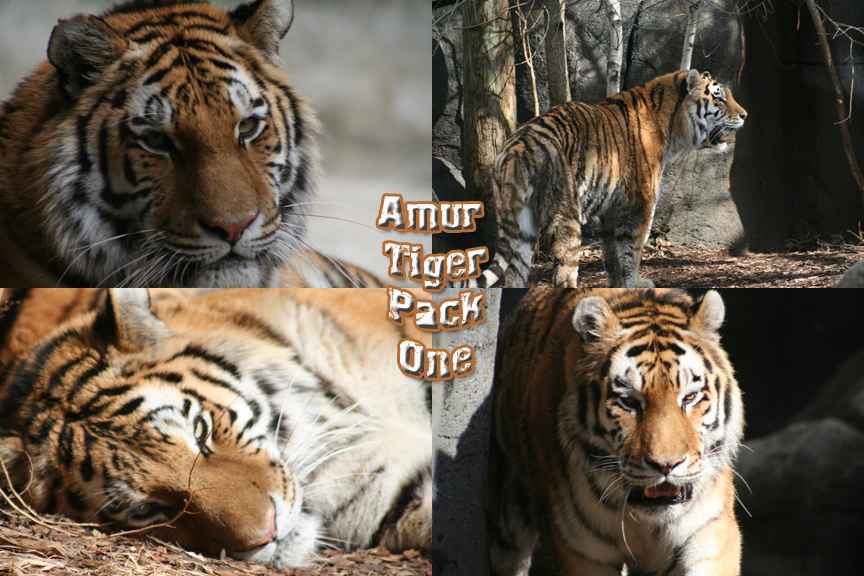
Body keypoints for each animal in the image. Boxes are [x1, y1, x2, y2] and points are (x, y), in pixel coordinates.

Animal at [465, 70, 747, 289]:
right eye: (719, 97)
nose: (744, 115)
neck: (671, 125)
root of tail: (518, 146)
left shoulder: (610, 212)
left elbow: (613, 257)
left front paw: (618, 286)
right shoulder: (640, 205)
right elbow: (633, 251)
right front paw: (636, 284)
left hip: (521, 225)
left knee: (515, 276)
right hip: (565, 214)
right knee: (563, 273)